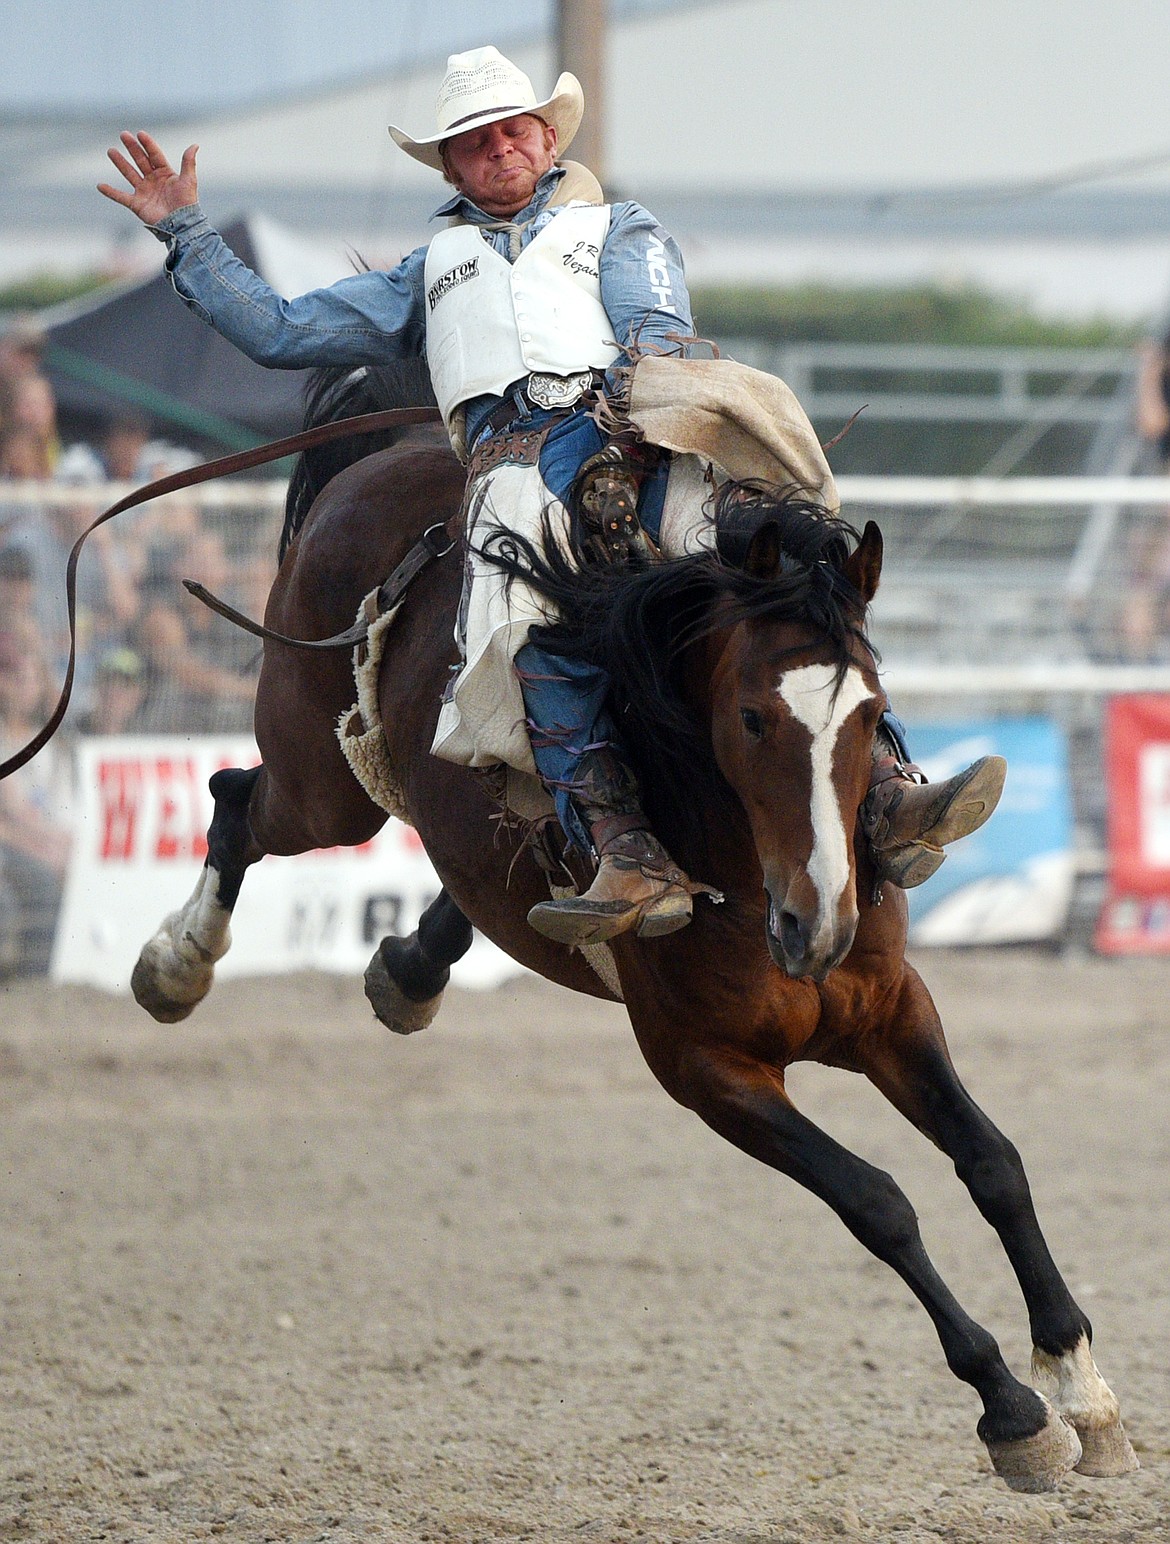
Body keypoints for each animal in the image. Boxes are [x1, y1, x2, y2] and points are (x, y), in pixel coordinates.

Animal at [130, 364, 1136, 1494]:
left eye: (873, 714)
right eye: (751, 718)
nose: (819, 919)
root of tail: (391, 458)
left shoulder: (891, 1007)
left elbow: (993, 1161)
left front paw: (1081, 1385)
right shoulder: (705, 1069)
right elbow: (877, 1201)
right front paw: (1011, 1406)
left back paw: (412, 967)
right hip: (322, 784)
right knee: (234, 796)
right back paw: (177, 963)